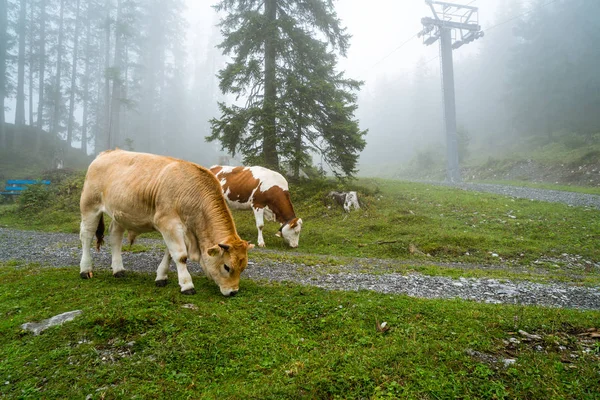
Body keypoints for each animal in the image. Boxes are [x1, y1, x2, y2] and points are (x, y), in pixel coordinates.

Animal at [79, 148, 253, 296]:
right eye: (226, 267)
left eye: (243, 267)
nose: (233, 292)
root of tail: (105, 153)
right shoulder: (169, 224)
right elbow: (180, 255)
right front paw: (187, 285)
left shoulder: (179, 229)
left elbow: (169, 254)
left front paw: (161, 277)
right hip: (90, 206)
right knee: (86, 235)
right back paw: (85, 270)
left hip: (120, 214)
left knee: (115, 236)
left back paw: (118, 270)